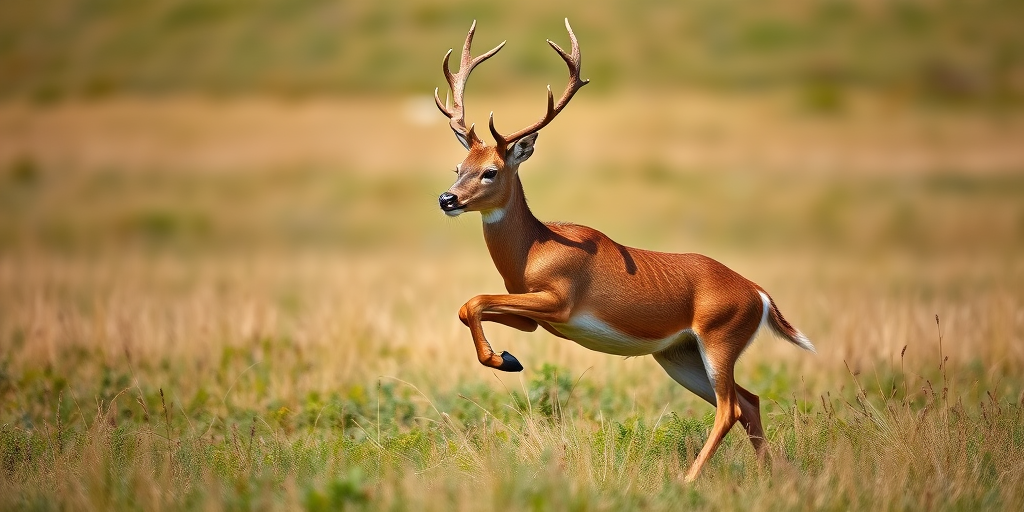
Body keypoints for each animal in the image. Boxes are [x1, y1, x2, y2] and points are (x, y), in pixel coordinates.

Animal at [434, 19, 816, 482]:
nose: (447, 199)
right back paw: (772, 476)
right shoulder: (533, 317)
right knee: (750, 402)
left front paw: (502, 359)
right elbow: (469, 306)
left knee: (730, 409)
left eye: (490, 171)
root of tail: (759, 294)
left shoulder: (560, 301)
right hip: (678, 354)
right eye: (458, 167)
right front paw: (507, 358)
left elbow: (472, 301)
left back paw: (689, 480)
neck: (534, 249)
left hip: (719, 337)